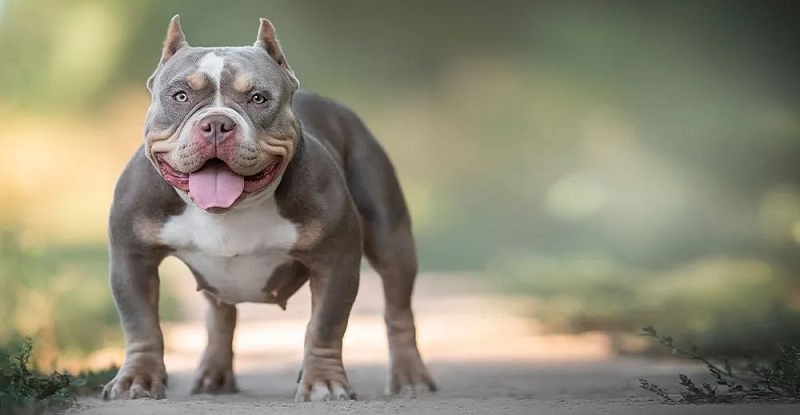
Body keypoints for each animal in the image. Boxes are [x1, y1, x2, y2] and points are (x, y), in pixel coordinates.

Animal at [102, 16, 438, 404]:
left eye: (258, 98)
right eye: (180, 96)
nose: (216, 123)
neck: (229, 211)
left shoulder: (335, 261)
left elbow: (325, 327)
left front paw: (323, 381)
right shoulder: (133, 258)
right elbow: (141, 324)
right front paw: (137, 379)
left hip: (391, 239)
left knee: (399, 309)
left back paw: (410, 376)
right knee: (220, 315)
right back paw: (213, 374)